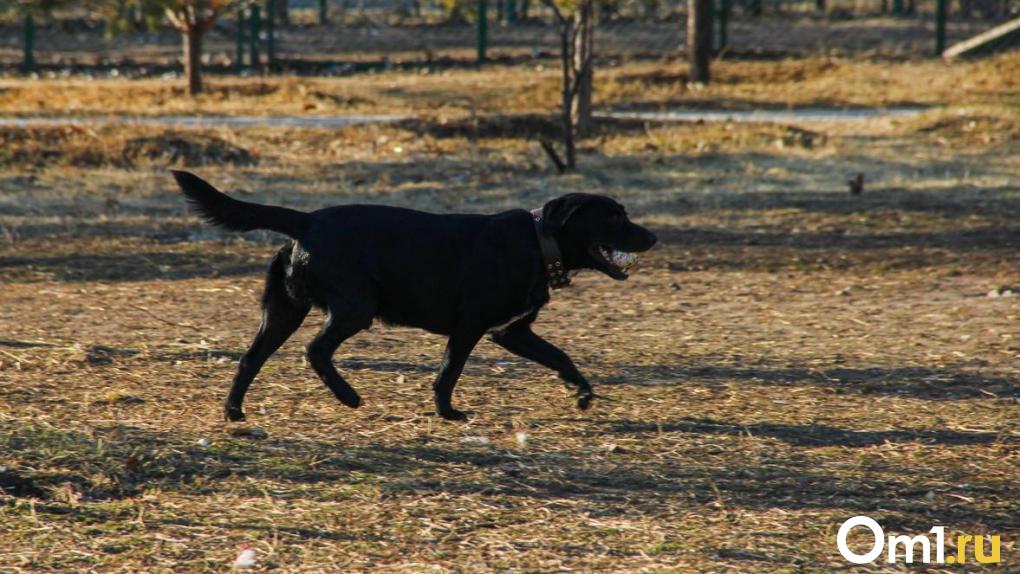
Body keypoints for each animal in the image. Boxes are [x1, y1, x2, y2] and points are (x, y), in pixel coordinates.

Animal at [171, 170, 656, 422]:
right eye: (614, 217)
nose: (652, 237)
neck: (540, 242)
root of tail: (306, 220)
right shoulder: (471, 326)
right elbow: (449, 372)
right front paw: (448, 412)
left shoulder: (511, 332)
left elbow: (561, 356)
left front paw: (582, 393)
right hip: (355, 308)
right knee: (315, 350)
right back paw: (348, 397)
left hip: (284, 312)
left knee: (250, 358)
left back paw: (234, 411)